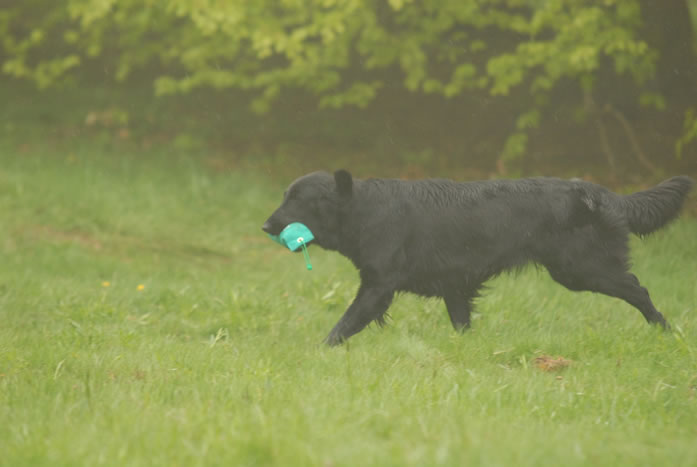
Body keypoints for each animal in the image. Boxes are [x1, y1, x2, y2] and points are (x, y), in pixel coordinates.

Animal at [262, 170, 694, 346]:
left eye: (297, 199)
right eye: (284, 196)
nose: (266, 225)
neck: (366, 210)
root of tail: (601, 192)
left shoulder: (377, 286)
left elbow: (342, 326)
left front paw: (316, 353)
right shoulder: (455, 287)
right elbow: (462, 324)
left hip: (582, 269)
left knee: (639, 289)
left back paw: (664, 330)